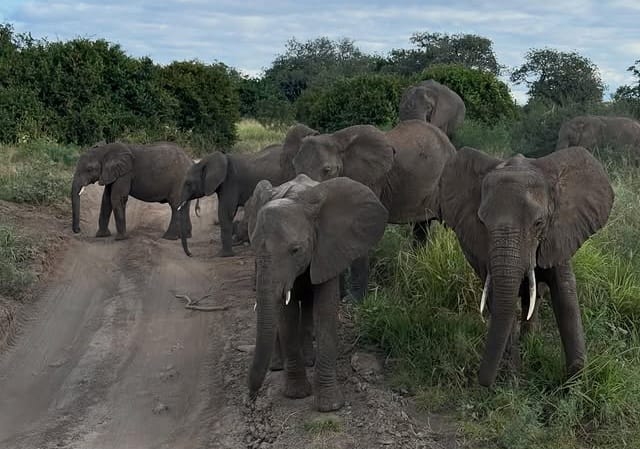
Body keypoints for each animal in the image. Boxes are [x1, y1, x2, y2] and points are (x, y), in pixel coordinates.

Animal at [247, 175, 388, 412]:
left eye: (295, 250)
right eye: (254, 247)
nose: (251, 396)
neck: (296, 198)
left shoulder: (329, 249)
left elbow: (325, 310)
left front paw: (330, 405)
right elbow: (286, 315)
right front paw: (297, 394)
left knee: (308, 307)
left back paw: (308, 360)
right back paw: (276, 365)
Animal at [288, 119, 457, 300]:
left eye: (327, 170)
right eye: (294, 166)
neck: (337, 140)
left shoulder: (369, 180)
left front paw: (354, 300)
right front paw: (339, 296)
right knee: (421, 226)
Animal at [439, 146, 614, 387]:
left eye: (539, 223)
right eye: (482, 223)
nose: (480, 381)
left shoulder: (559, 234)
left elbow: (565, 295)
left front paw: (576, 386)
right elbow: (499, 299)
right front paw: (511, 382)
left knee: (535, 293)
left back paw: (530, 339)